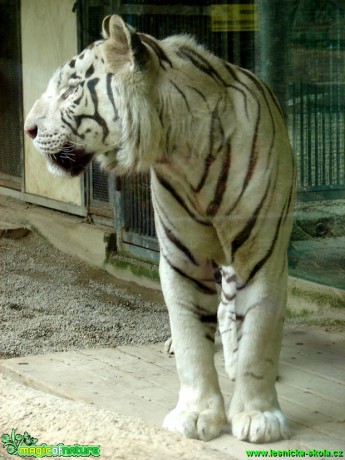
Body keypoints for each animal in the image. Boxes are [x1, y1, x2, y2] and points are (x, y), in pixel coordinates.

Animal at [24, 14, 292, 444]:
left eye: (69, 90)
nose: (28, 130)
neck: (185, 151)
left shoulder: (262, 255)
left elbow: (259, 339)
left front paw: (258, 417)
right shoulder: (181, 258)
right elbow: (190, 340)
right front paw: (196, 414)